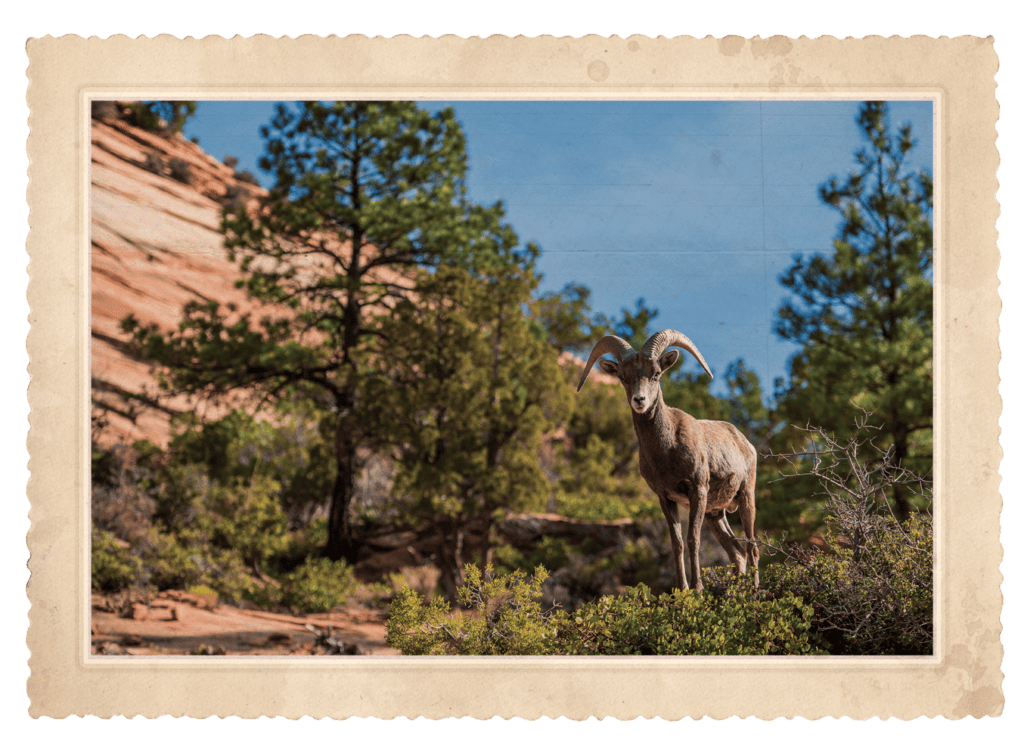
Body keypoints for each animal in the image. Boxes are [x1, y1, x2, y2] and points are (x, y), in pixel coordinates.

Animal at [576, 330, 759, 592]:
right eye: (623, 377)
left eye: (656, 373)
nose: (639, 400)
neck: (667, 448)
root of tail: (746, 444)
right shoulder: (665, 497)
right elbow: (677, 542)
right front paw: (682, 590)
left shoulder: (698, 491)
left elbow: (693, 539)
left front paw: (698, 589)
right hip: (716, 513)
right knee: (737, 553)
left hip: (745, 498)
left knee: (752, 548)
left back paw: (755, 591)